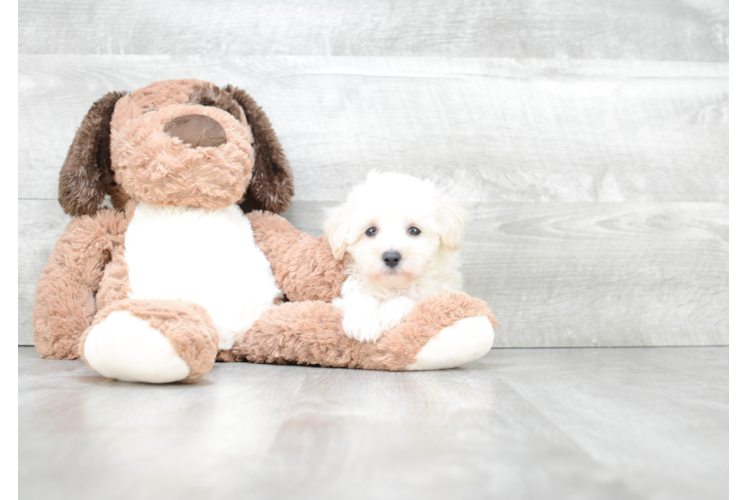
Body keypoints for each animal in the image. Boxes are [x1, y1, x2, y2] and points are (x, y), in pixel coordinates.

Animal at [322, 172, 464, 344]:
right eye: (371, 231)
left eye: (414, 230)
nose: (391, 257)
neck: (393, 286)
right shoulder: (346, 295)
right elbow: (359, 295)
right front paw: (363, 323)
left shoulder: (440, 292)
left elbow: (413, 299)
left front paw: (386, 314)